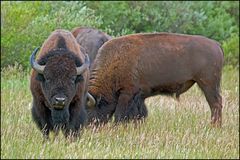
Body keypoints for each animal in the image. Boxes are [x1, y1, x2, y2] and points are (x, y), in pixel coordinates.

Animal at [86, 32, 225, 127]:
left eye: (89, 109)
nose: (89, 126)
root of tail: (216, 44)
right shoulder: (138, 97)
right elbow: (140, 113)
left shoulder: (127, 94)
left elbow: (120, 114)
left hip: (207, 84)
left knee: (215, 103)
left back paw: (214, 126)